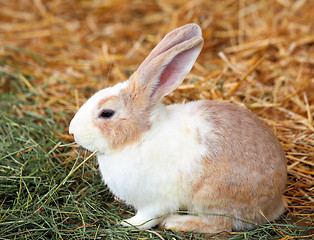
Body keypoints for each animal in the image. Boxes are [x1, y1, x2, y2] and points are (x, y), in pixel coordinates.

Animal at [69, 23, 288, 233]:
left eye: (106, 113)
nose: (72, 131)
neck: (141, 137)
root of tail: (275, 203)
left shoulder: (154, 202)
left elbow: (148, 218)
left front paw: (128, 224)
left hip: (211, 197)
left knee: (218, 225)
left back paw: (176, 222)